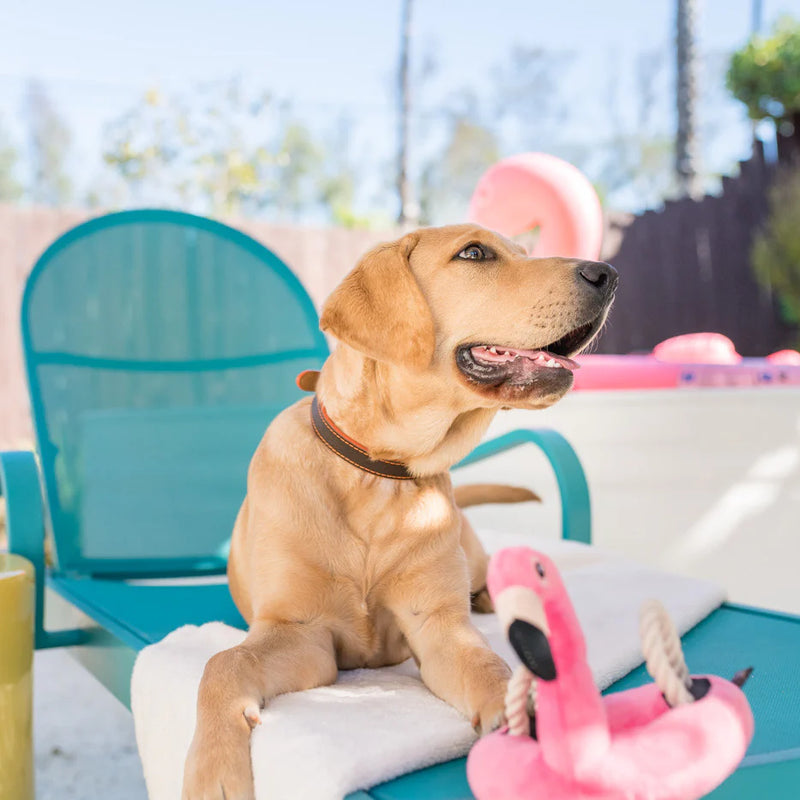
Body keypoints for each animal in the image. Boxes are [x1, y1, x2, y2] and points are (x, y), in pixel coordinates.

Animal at [183, 222, 620, 796]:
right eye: (474, 253)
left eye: (524, 252)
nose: (608, 273)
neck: (378, 474)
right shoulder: (301, 634)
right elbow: (223, 663)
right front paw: (212, 769)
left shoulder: (438, 628)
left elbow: (492, 672)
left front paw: (526, 727)